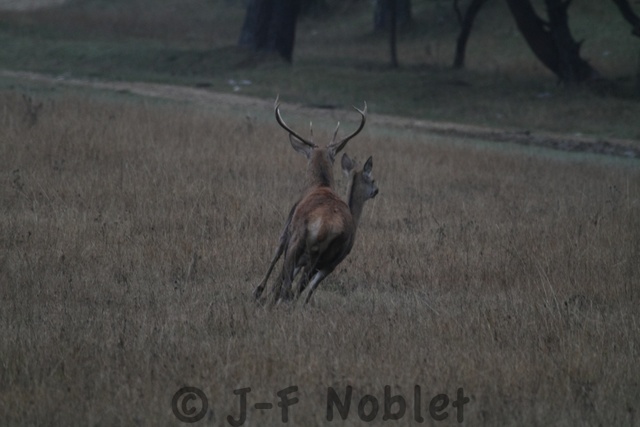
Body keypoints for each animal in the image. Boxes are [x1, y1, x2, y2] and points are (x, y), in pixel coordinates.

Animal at [253, 101, 367, 303]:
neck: (319, 185)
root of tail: (327, 227)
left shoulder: (288, 226)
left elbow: (275, 255)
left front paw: (258, 291)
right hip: (330, 258)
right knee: (300, 286)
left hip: (299, 241)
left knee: (289, 284)